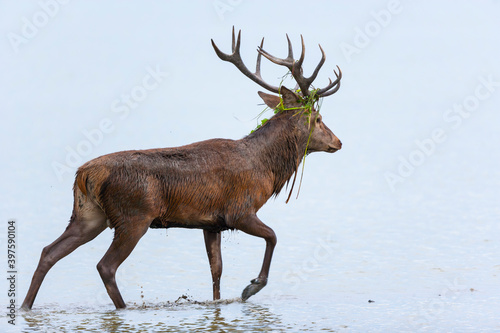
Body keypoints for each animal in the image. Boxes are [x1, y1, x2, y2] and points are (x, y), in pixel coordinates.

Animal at [21, 27, 342, 310]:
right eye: (318, 118)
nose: (338, 142)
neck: (266, 168)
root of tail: (85, 174)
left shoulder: (212, 223)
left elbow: (216, 270)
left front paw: (219, 301)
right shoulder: (240, 210)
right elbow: (273, 236)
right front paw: (251, 287)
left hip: (88, 214)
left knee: (49, 252)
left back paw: (25, 305)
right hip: (133, 216)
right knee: (105, 266)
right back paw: (123, 307)